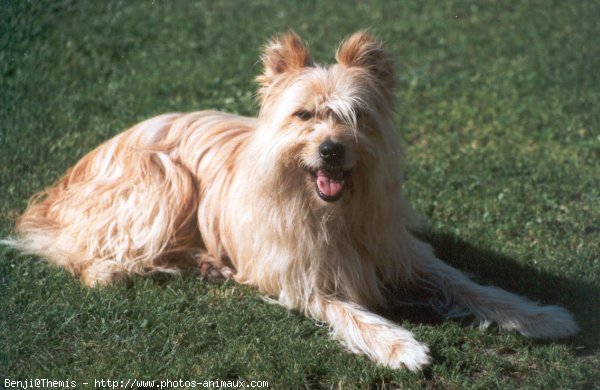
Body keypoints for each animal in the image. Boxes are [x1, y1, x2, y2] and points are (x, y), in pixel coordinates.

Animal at [9, 32, 580, 370]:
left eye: (355, 116)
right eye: (304, 115)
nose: (331, 150)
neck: (332, 211)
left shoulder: (402, 253)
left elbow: (471, 285)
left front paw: (542, 318)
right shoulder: (299, 274)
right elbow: (351, 312)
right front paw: (400, 346)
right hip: (159, 179)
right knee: (75, 249)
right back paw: (119, 269)